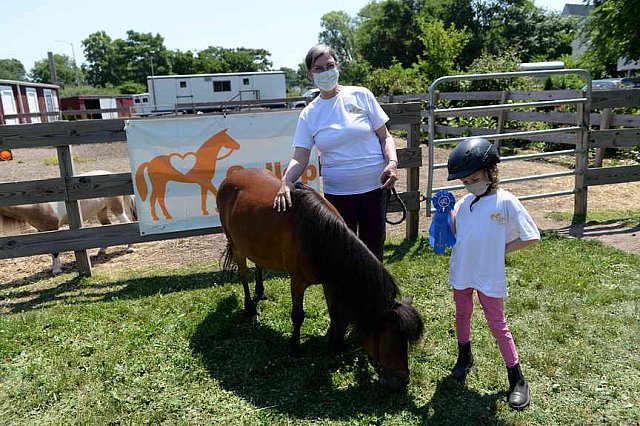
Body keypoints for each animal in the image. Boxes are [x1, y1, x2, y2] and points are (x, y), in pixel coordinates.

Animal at [0, 171, 136, 274]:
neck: (39, 204)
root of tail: (110, 173)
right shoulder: (43, 231)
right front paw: (56, 266)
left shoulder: (53, 229)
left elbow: (55, 250)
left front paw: (56, 270)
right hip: (101, 211)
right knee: (107, 225)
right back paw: (101, 250)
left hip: (117, 209)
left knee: (127, 223)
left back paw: (130, 248)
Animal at [216, 168, 424, 392]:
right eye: (390, 339)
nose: (402, 382)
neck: (317, 233)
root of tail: (231, 178)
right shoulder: (297, 281)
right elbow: (298, 316)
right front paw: (295, 349)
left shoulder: (330, 281)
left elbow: (336, 312)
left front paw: (337, 344)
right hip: (236, 245)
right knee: (244, 275)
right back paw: (250, 309)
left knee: (259, 264)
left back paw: (260, 292)